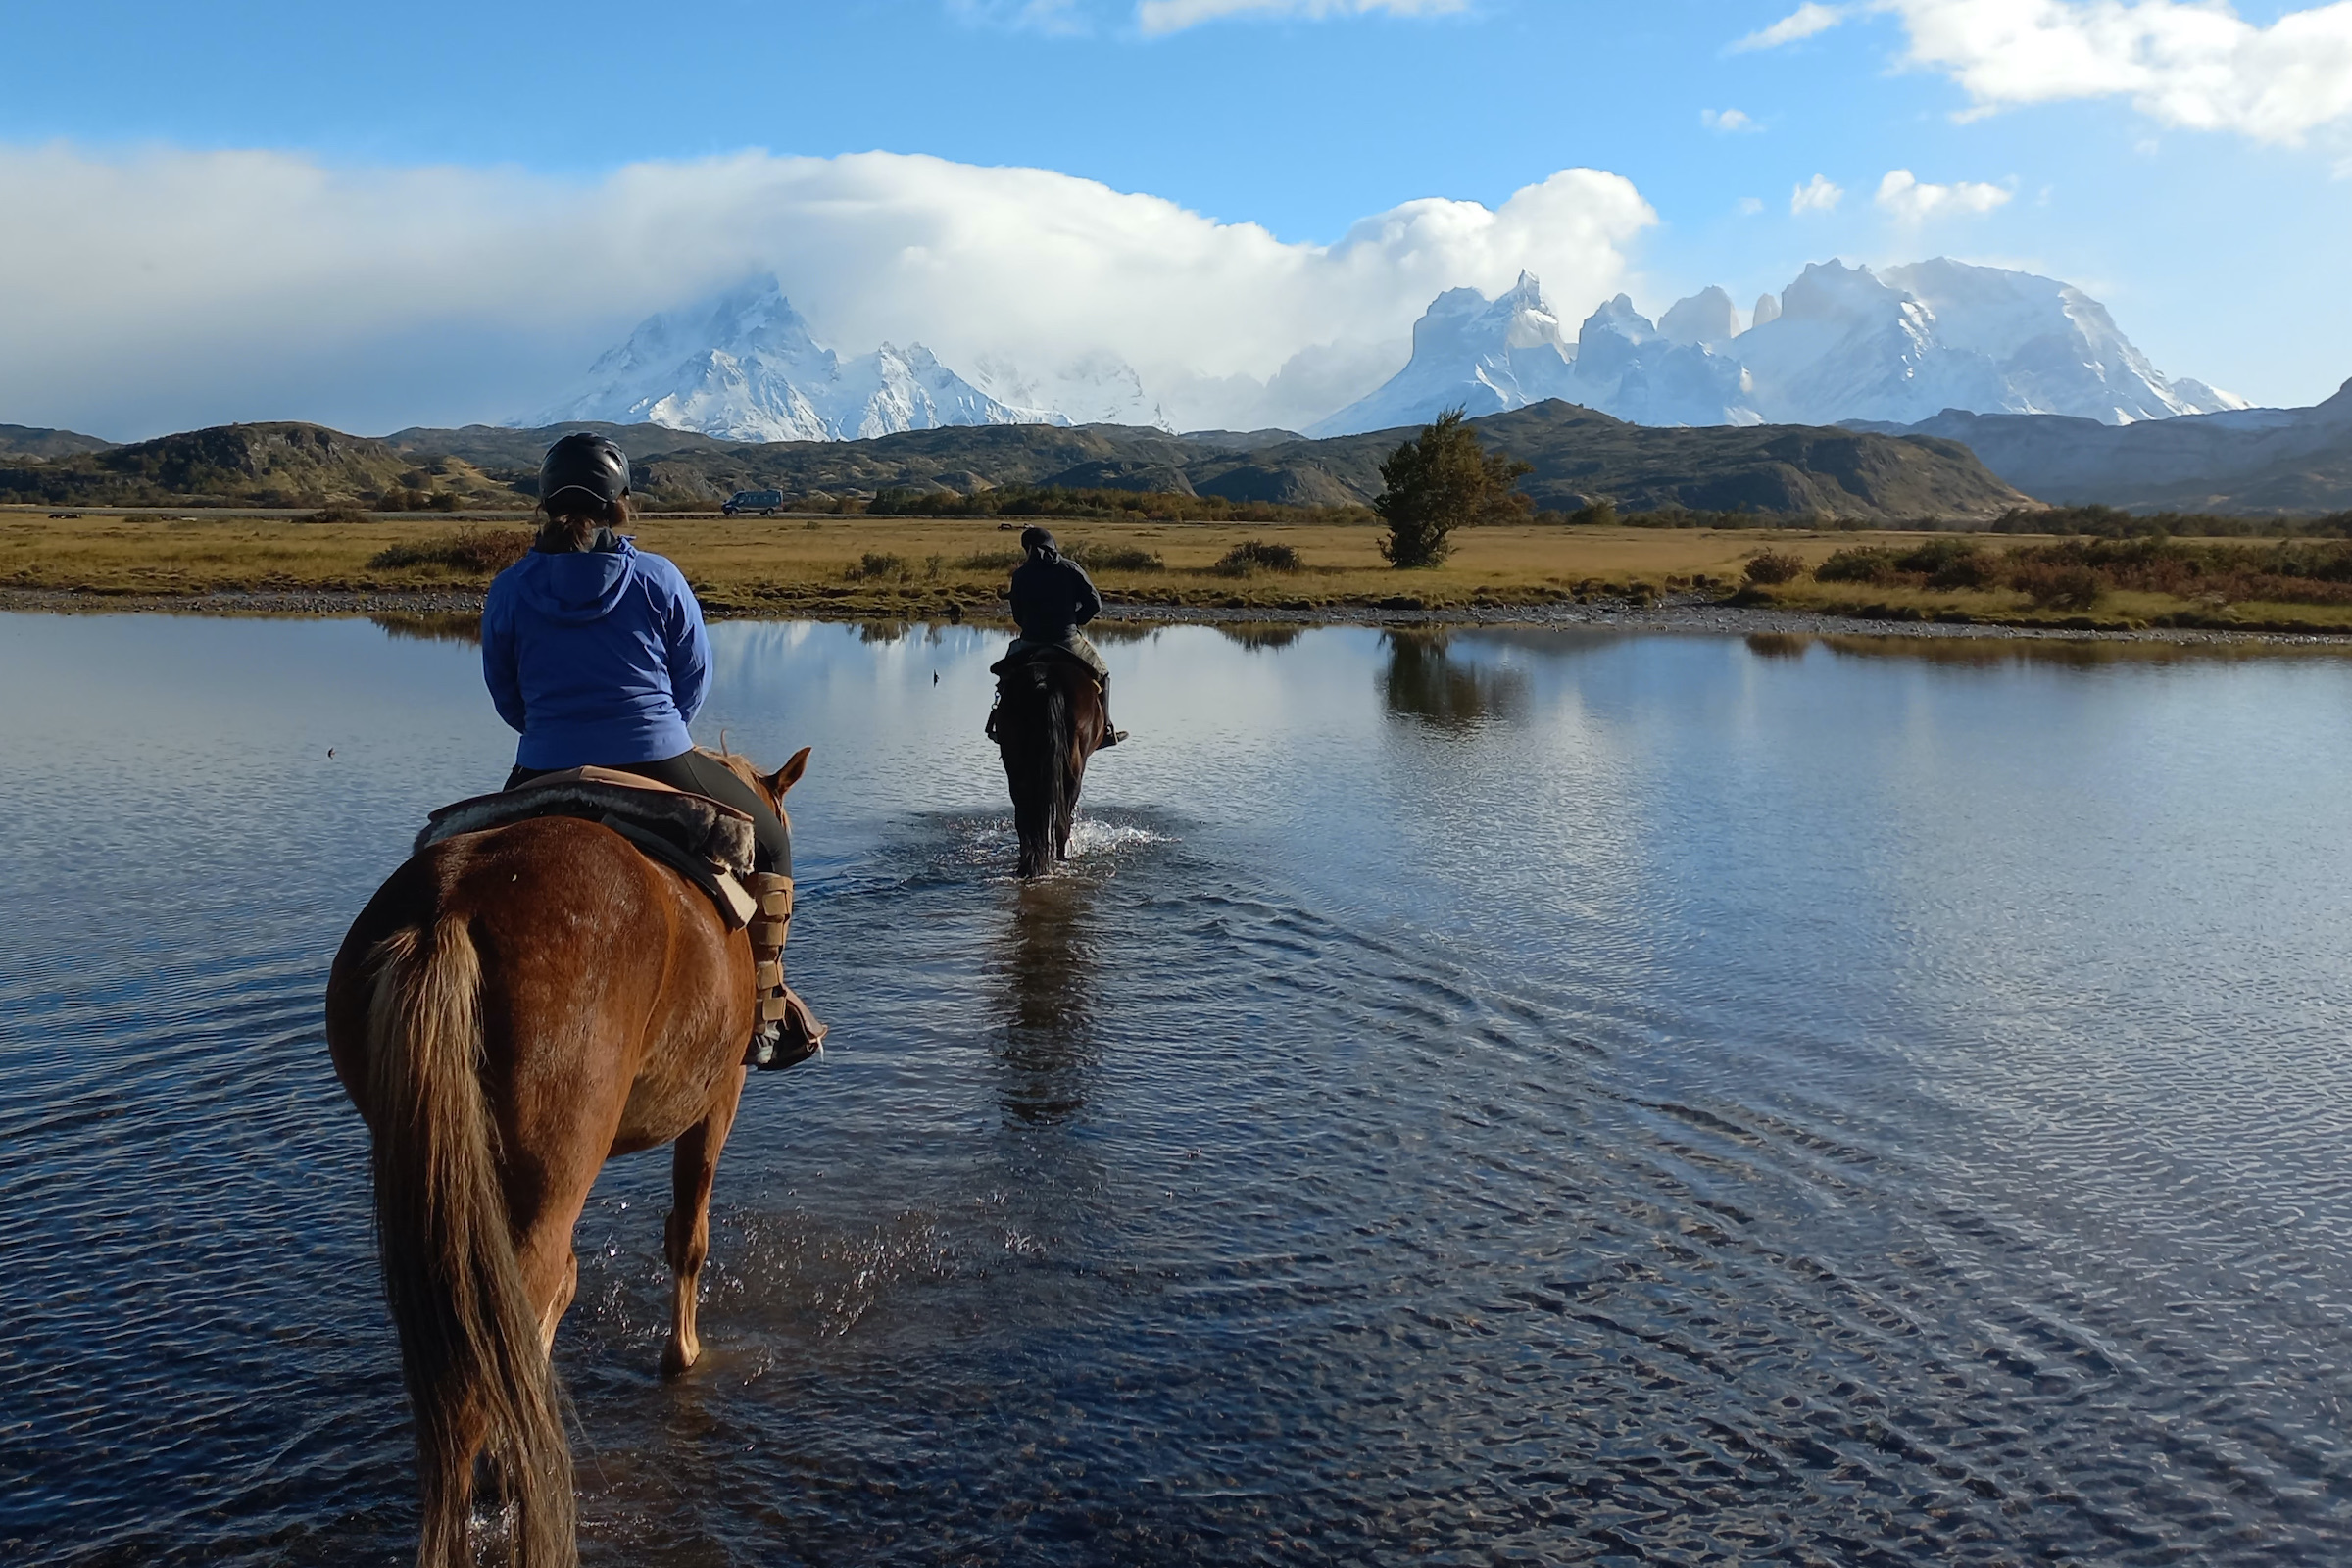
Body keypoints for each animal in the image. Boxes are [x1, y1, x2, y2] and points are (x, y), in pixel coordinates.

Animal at [992, 652, 1108, 878]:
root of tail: (1045, 681)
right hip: (1073, 767)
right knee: (1061, 822)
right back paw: (1060, 860)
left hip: (1015, 761)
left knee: (1024, 817)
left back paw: (1028, 864)